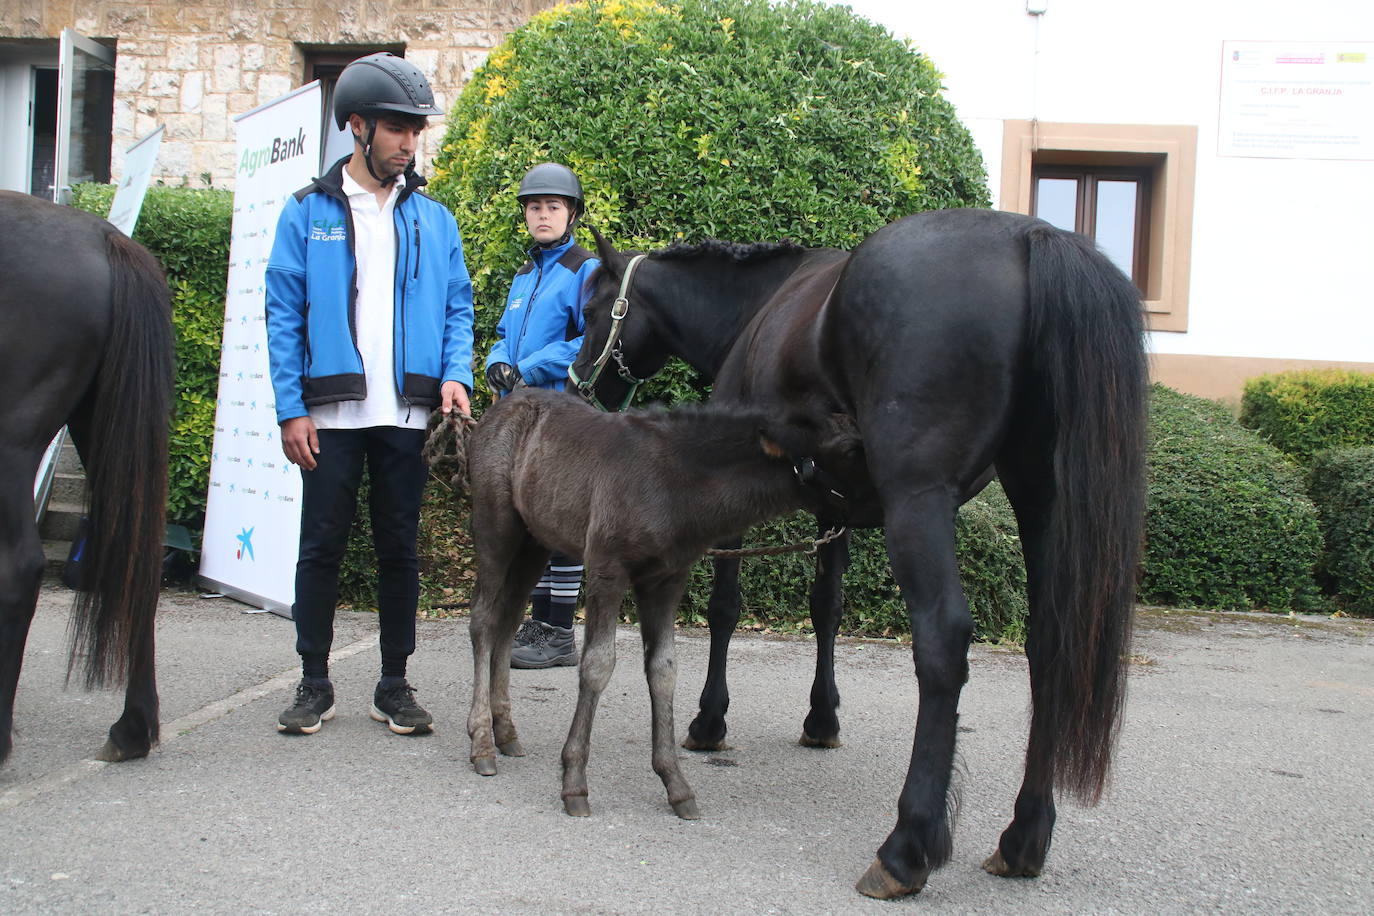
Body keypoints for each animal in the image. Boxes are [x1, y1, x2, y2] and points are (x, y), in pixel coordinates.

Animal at [447, 390, 835, 818]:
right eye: (850, 449)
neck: (670, 477)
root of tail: (499, 408)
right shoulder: (606, 569)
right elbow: (598, 664)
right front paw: (574, 782)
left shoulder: (666, 581)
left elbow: (664, 669)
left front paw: (676, 784)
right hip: (496, 528)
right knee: (483, 619)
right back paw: (482, 741)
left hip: (534, 543)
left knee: (508, 619)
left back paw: (505, 732)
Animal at [568, 210, 1148, 900]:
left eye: (592, 308)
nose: (578, 383)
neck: (759, 306)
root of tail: (1030, 240)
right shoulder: (833, 509)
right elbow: (827, 607)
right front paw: (822, 718)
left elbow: (725, 608)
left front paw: (710, 721)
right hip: (1042, 504)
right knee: (1051, 644)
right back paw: (1024, 835)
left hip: (919, 502)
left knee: (942, 643)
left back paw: (907, 846)